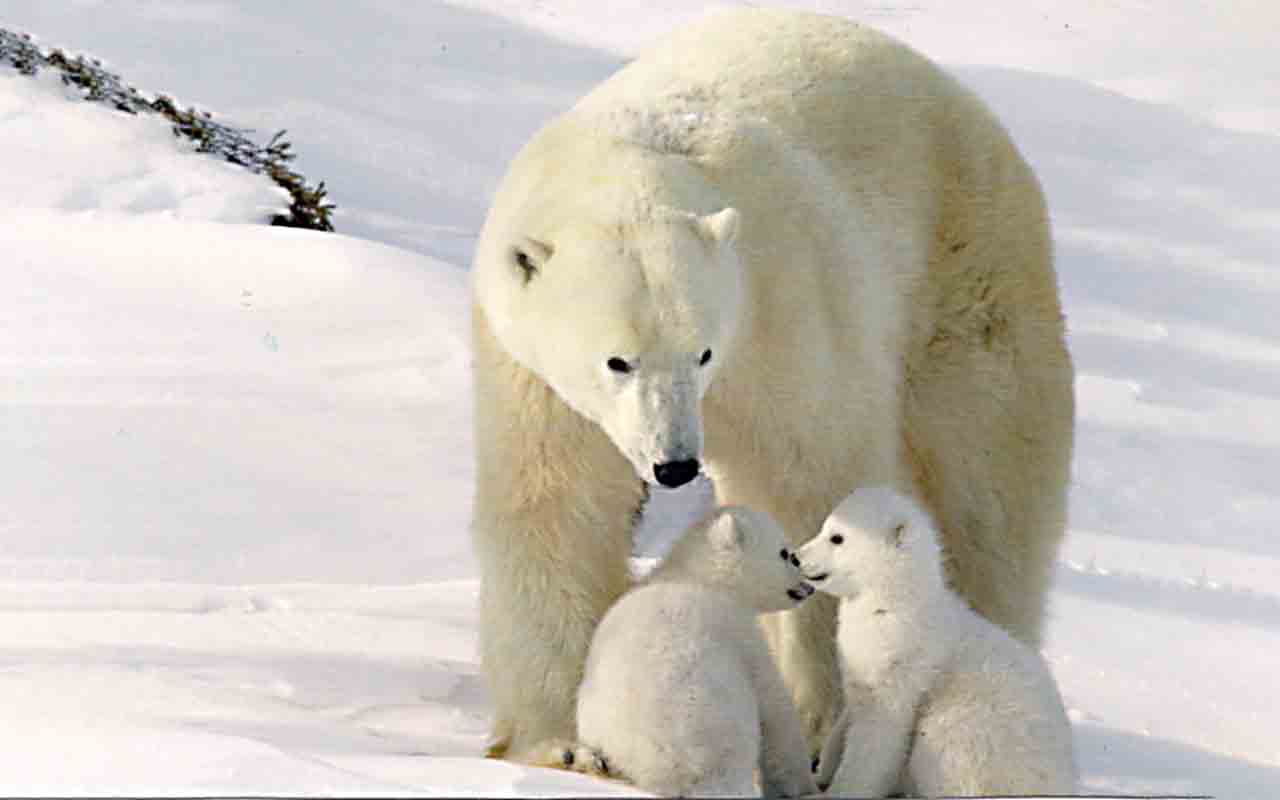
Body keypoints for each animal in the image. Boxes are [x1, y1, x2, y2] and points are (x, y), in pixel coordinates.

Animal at [469, 7, 1074, 762]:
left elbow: (808, 479)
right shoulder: (534, 375)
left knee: (987, 485)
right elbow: (557, 505)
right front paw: (556, 740)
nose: (674, 465)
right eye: (617, 361)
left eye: (701, 352)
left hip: (968, 268)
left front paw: (817, 717)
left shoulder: (780, 308)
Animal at [574, 505, 819, 797]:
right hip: (712, 723)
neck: (695, 576)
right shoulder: (738, 631)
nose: (808, 587)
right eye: (785, 553)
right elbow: (774, 706)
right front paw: (804, 785)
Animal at [796, 486, 1077, 797]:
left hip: (967, 732)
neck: (893, 602)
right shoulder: (861, 668)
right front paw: (824, 768)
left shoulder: (901, 665)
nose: (795, 556)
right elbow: (846, 720)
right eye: (825, 527)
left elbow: (879, 737)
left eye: (837, 537)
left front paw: (841, 789)